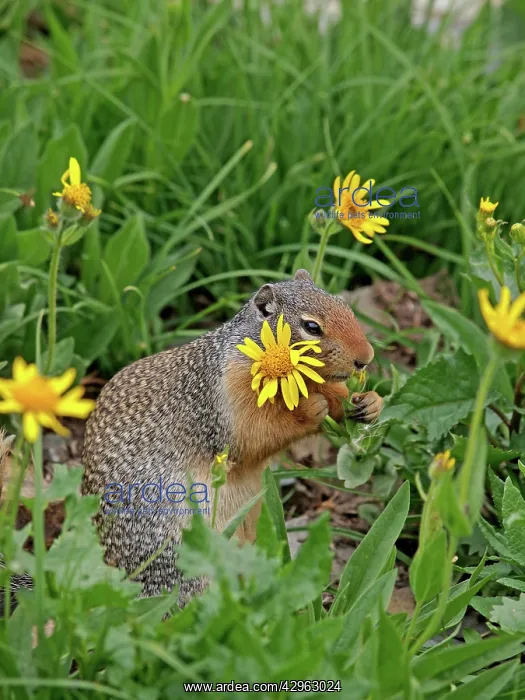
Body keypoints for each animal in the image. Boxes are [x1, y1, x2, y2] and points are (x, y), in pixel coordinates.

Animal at [81, 270, 383, 604]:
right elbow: (255, 436)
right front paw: (310, 410)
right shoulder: (228, 398)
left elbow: (336, 396)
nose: (366, 357)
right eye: (312, 327)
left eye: (345, 305)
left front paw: (369, 402)